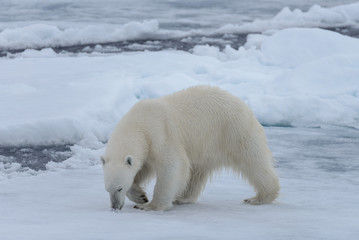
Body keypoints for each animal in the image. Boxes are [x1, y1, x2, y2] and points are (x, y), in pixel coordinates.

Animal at [101, 86, 282, 210]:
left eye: (119, 188)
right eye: (107, 189)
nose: (115, 207)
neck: (139, 124)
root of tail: (245, 106)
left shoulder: (161, 133)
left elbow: (173, 165)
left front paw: (150, 205)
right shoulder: (147, 147)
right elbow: (142, 169)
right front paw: (140, 196)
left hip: (234, 132)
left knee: (253, 162)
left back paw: (259, 198)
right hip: (207, 146)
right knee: (196, 172)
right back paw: (182, 197)